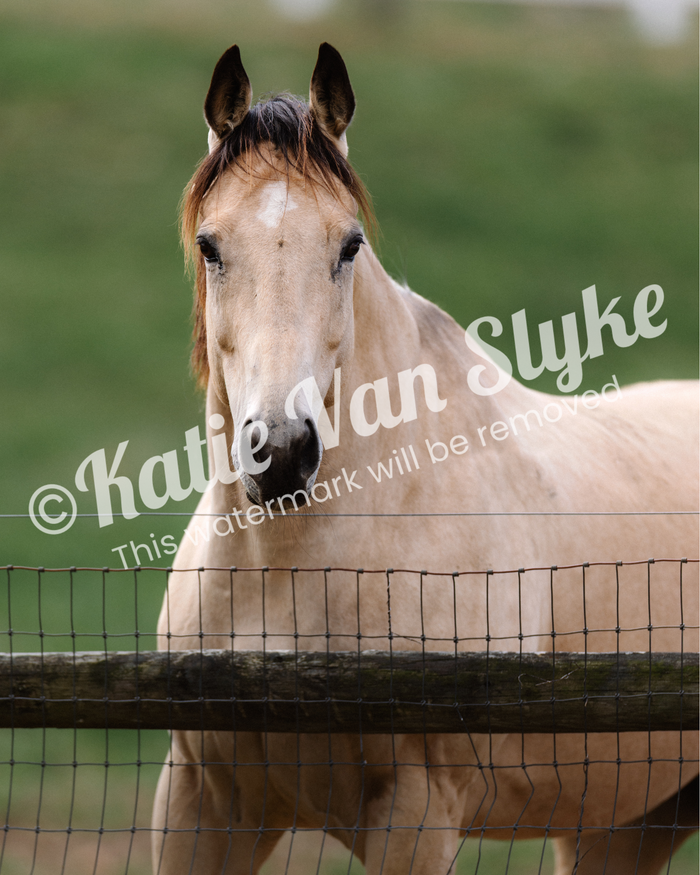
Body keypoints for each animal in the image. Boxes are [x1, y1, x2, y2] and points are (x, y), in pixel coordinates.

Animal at [151, 43, 698, 874]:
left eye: (348, 245)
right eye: (212, 245)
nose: (282, 452)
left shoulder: (416, 817)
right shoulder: (202, 803)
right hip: (624, 825)